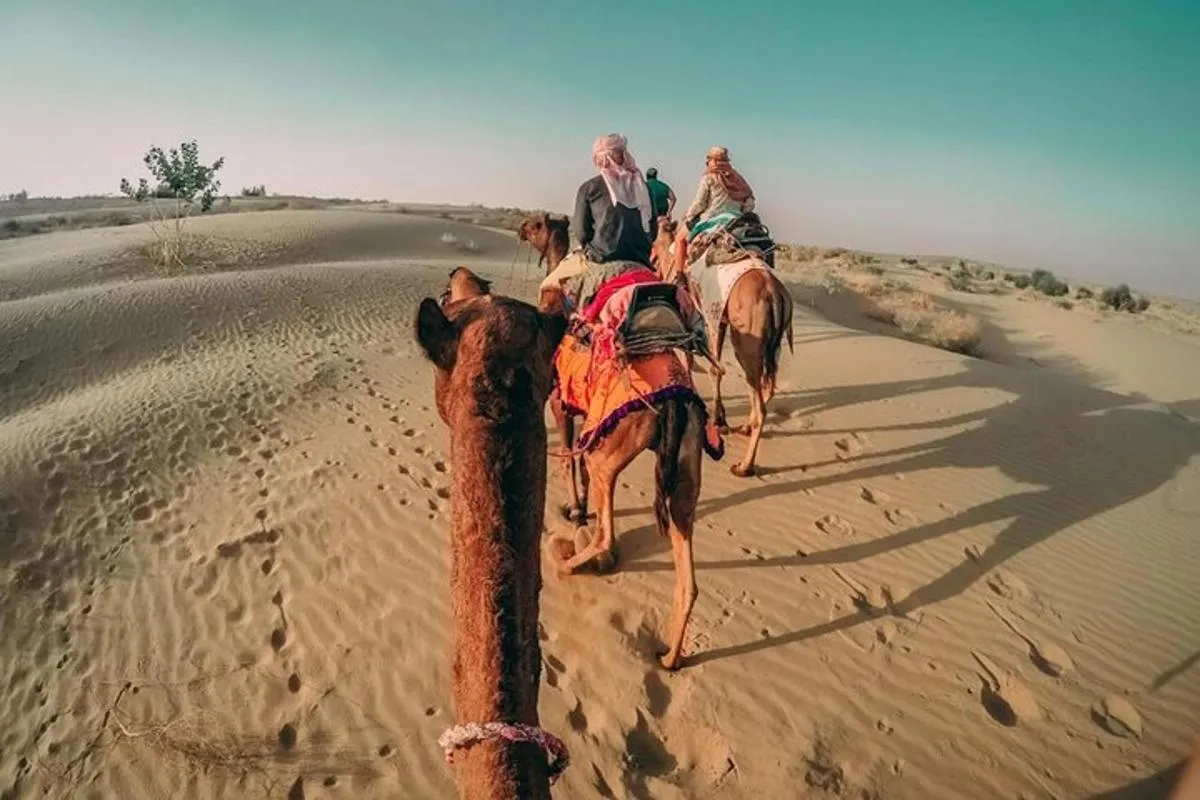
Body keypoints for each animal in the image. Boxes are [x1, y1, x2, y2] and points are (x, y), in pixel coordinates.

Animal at [651, 217, 794, 477]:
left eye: (656, 238)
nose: (651, 254)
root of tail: (774, 294)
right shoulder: (719, 320)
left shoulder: (704, 317)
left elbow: (708, 366)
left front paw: (718, 419)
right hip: (773, 342)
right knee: (768, 385)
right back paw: (745, 427)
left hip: (746, 342)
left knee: (759, 397)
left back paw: (745, 466)